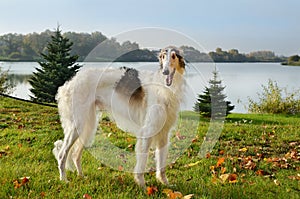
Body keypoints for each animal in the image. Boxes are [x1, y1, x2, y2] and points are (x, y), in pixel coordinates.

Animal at [53, 46, 186, 187]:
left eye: (174, 56)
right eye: (162, 57)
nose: (165, 72)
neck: (164, 88)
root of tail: (68, 84)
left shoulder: (164, 134)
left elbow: (162, 165)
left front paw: (165, 184)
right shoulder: (148, 131)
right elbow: (142, 162)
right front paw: (142, 185)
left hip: (88, 125)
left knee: (75, 155)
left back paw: (81, 176)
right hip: (78, 125)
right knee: (62, 154)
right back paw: (64, 179)